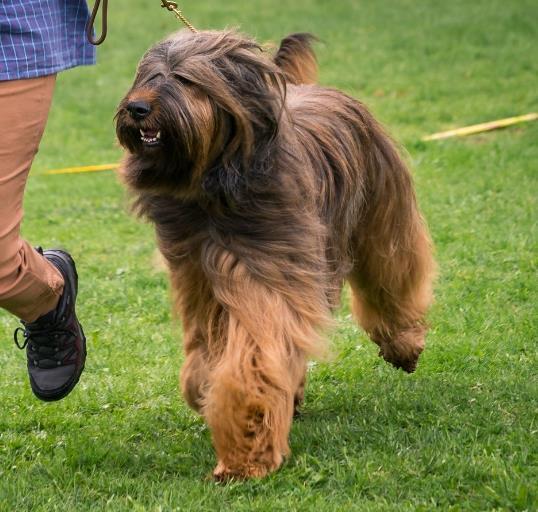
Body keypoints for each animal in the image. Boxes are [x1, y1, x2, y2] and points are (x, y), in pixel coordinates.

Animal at [115, 29, 434, 480]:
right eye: (150, 75)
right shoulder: (197, 274)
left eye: (186, 80)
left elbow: (253, 362)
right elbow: (209, 354)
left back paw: (403, 346)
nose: (137, 108)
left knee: (393, 277)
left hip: (379, 215)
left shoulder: (268, 270)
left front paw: (245, 455)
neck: (213, 185)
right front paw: (206, 388)